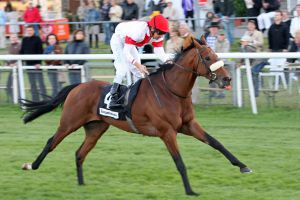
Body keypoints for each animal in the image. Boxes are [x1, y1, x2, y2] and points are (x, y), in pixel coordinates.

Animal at [21, 35, 251, 196]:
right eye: (208, 57)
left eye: (217, 55)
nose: (227, 79)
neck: (172, 91)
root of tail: (78, 86)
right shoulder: (167, 132)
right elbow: (179, 162)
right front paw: (190, 190)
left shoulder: (189, 125)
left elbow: (217, 143)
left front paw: (243, 166)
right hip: (70, 121)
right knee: (52, 142)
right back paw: (31, 165)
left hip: (96, 128)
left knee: (80, 153)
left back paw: (81, 184)